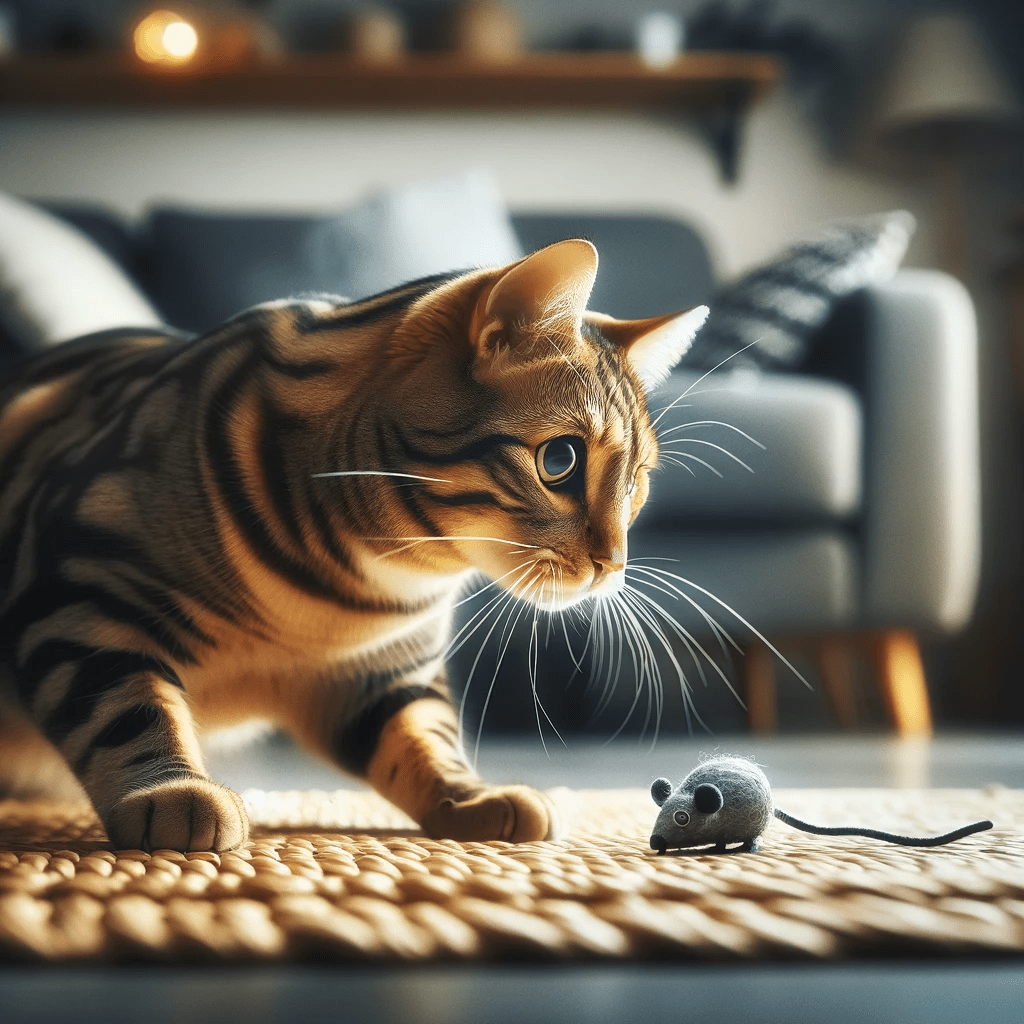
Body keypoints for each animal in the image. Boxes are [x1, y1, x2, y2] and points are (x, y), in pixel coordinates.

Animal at [0, 237, 704, 847]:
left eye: (637, 483)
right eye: (560, 460)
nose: (613, 564)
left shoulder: (388, 674)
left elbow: (425, 738)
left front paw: (473, 795)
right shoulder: (78, 589)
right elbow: (126, 705)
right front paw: (170, 792)